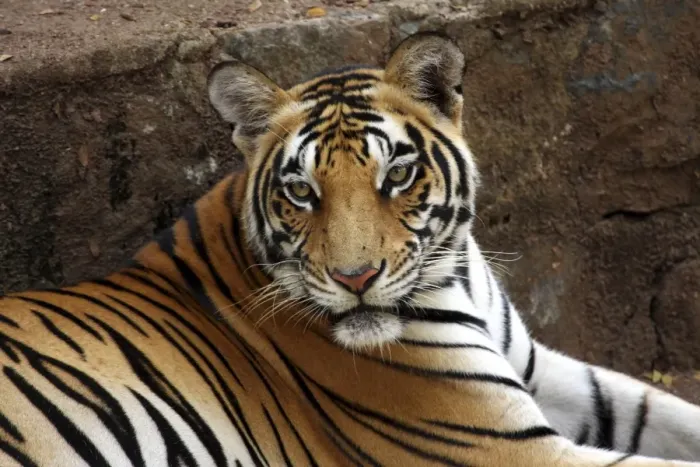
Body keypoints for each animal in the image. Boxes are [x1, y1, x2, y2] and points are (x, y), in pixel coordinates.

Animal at [1, 32, 700, 467]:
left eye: (397, 175)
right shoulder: (507, 445)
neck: (456, 277)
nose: (355, 277)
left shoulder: (542, 371)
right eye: (301, 191)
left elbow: (667, 411)